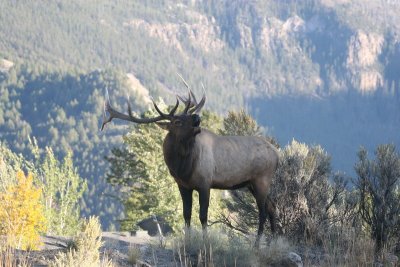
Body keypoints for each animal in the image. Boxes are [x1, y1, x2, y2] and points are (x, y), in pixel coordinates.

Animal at [101, 82, 280, 247]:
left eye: (189, 116)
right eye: (177, 121)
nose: (197, 118)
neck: (183, 168)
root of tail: (277, 154)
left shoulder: (205, 183)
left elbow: (203, 216)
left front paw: (205, 241)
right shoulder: (183, 185)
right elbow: (186, 214)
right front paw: (187, 240)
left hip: (261, 179)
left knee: (263, 211)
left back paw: (258, 244)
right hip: (251, 183)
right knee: (271, 207)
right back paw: (273, 241)